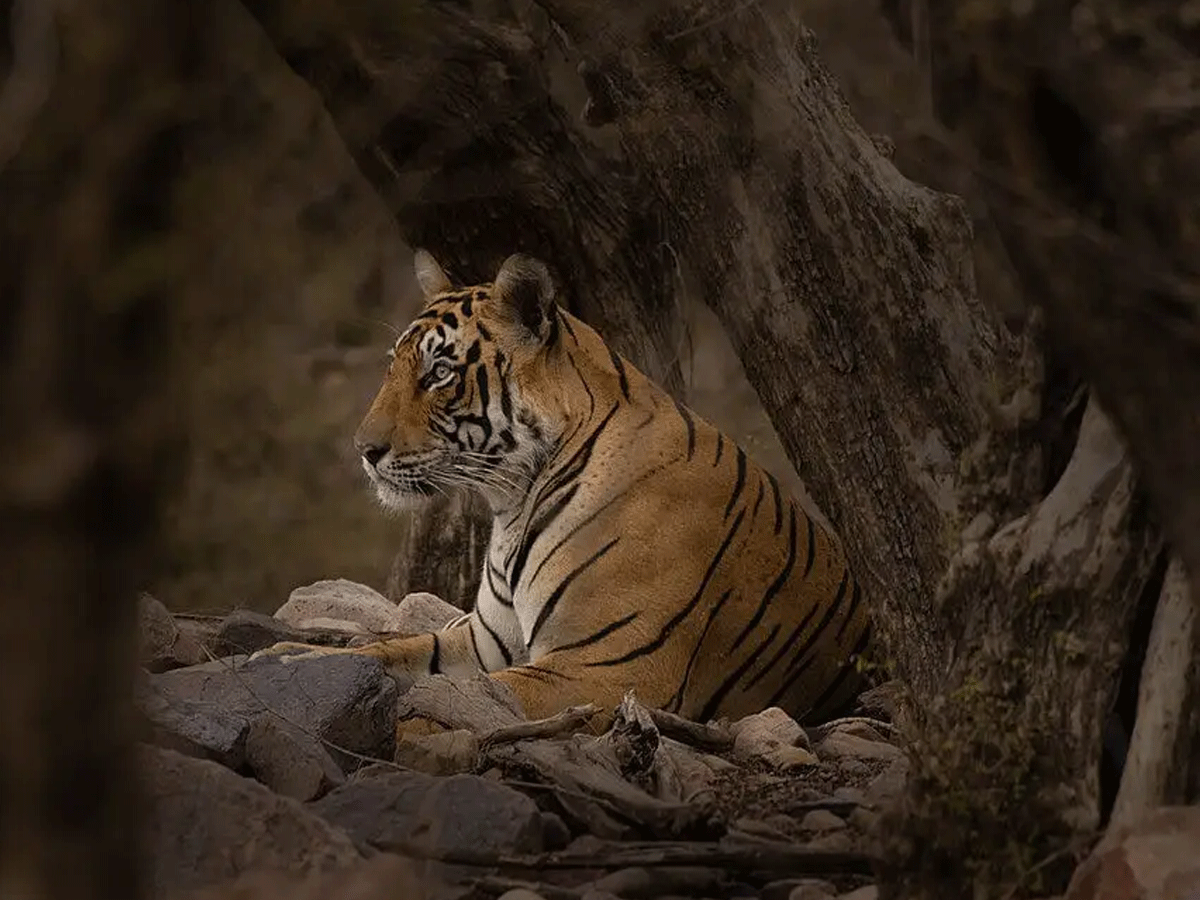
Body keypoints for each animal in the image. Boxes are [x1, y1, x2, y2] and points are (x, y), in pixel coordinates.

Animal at [256, 250, 873, 726]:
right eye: (394, 367)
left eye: (439, 373)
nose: (364, 449)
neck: (512, 503)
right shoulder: (484, 641)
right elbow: (394, 651)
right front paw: (290, 660)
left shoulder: (609, 669)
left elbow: (465, 693)